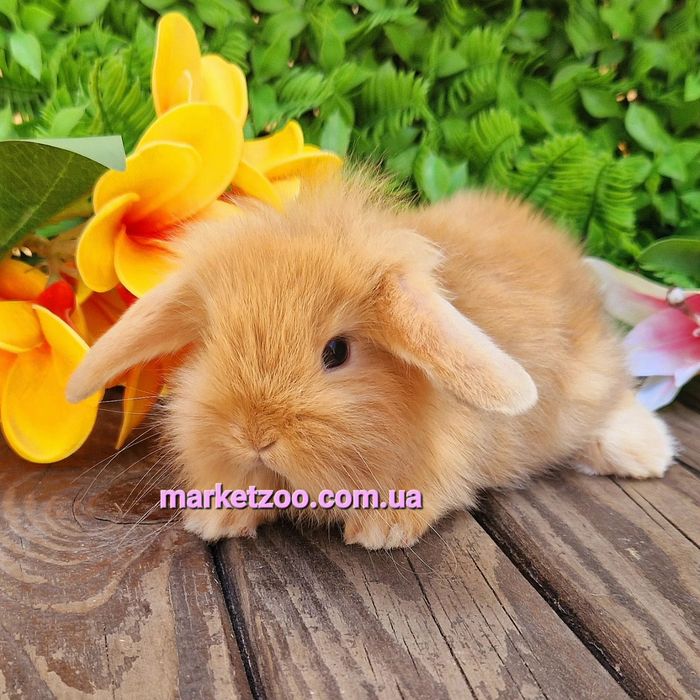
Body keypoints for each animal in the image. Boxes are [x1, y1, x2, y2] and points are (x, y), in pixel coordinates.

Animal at [67, 173, 675, 549]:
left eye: (336, 352)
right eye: (213, 341)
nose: (254, 436)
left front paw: (378, 533)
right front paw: (214, 519)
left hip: (590, 382)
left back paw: (643, 454)